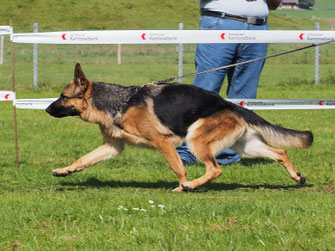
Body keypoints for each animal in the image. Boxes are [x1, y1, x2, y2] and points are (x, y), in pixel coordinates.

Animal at [46, 63, 314, 191]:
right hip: (246, 146)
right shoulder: (113, 146)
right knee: (280, 152)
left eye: (63, 96)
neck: (120, 103)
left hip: (196, 140)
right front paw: (64, 170)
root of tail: (231, 105)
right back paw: (296, 176)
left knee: (215, 169)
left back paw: (190, 186)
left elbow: (178, 168)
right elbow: (83, 159)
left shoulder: (162, 141)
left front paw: (179, 186)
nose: (46, 109)